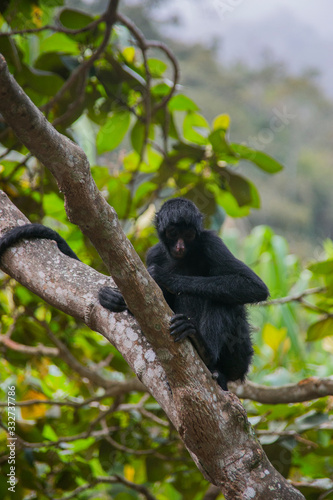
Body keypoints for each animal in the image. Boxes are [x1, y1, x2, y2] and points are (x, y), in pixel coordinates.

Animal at [0, 198, 268, 390]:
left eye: (190, 235)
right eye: (173, 233)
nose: (180, 246)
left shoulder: (211, 242)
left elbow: (254, 287)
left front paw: (162, 276)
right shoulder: (155, 252)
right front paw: (113, 299)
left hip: (240, 354)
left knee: (221, 300)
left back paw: (204, 350)